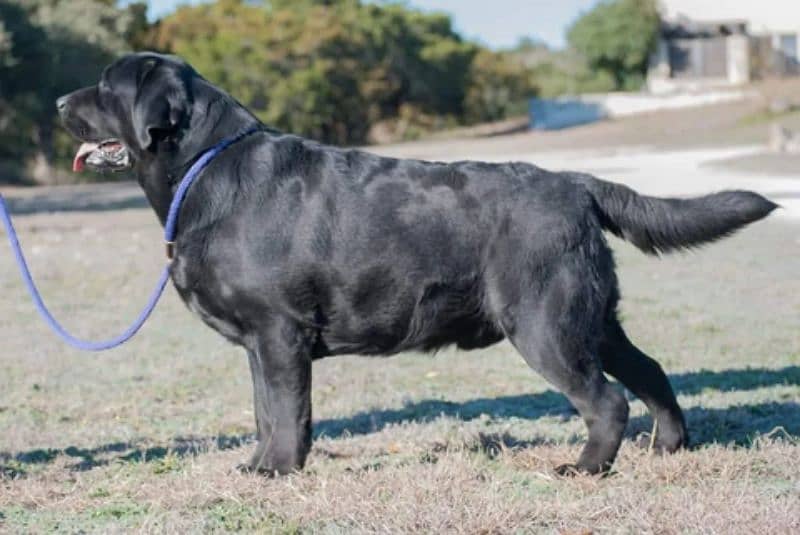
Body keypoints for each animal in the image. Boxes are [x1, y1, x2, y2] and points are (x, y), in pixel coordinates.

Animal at [54, 52, 776, 476]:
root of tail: (576, 183)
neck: (208, 168)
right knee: (650, 371)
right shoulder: (262, 343)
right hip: (593, 318)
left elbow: (286, 411)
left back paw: (584, 467)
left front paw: (279, 469)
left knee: (606, 400)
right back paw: (669, 446)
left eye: (106, 86)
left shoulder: (279, 332)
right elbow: (265, 411)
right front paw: (259, 464)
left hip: (545, 324)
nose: (59, 103)